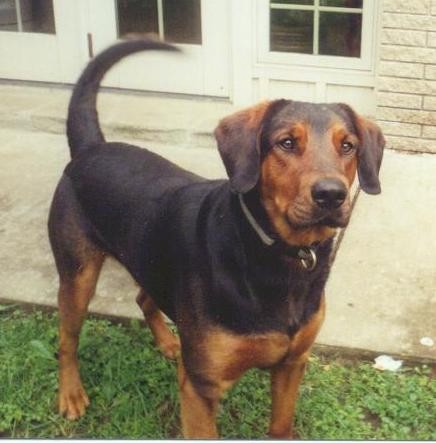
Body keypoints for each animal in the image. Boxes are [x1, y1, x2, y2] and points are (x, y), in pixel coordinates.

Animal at [47, 38, 384, 440]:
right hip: (77, 275)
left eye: (348, 146)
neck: (276, 255)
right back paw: (70, 393)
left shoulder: (292, 364)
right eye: (286, 143)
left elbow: (281, 426)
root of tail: (91, 147)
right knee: (67, 339)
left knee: (144, 296)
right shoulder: (201, 387)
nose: (331, 195)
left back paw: (168, 343)